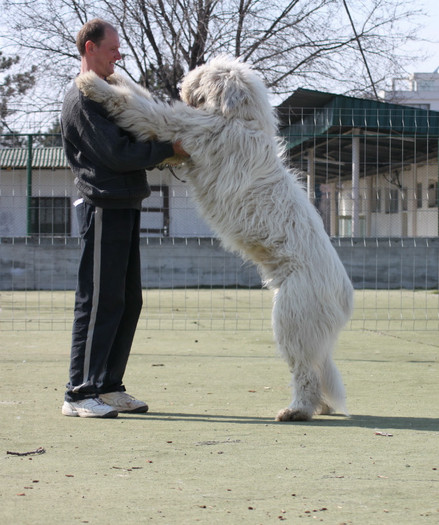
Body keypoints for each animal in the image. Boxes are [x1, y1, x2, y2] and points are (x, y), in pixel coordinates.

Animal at [76, 55, 354, 420]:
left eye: (204, 76)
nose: (183, 85)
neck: (239, 119)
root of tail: (344, 297)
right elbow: (141, 95)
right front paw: (116, 77)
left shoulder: (182, 127)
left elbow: (141, 107)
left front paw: (92, 83)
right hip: (307, 328)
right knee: (317, 368)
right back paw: (318, 405)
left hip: (292, 318)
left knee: (304, 370)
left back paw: (297, 410)